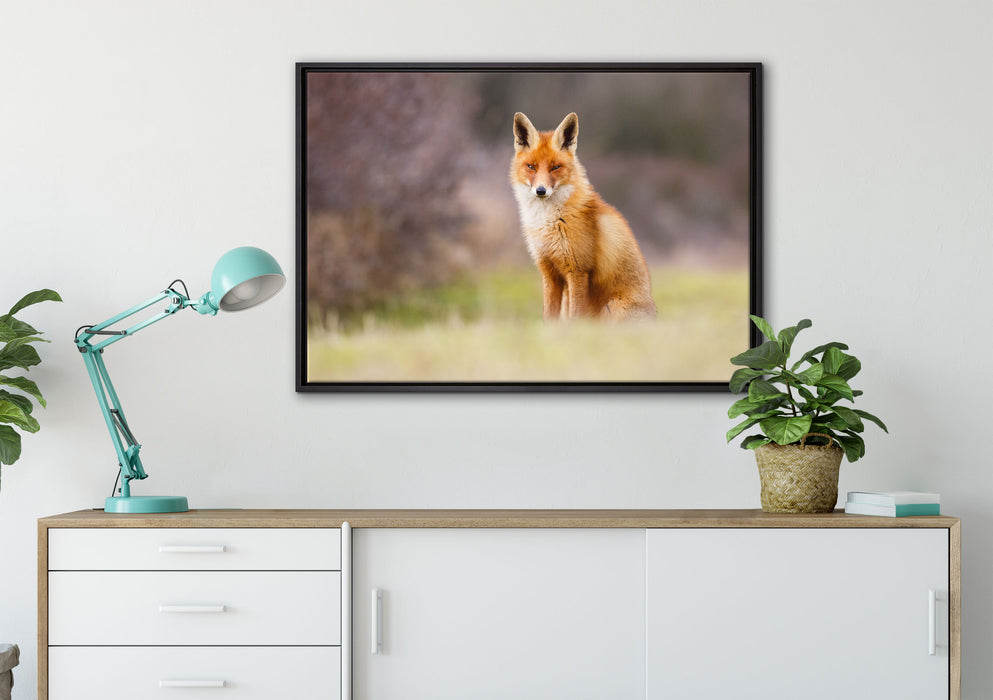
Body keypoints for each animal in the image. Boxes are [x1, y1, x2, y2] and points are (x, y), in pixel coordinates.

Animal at [510, 111, 656, 321]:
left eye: (555, 167)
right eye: (531, 166)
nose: (541, 191)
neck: (549, 222)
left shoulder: (577, 270)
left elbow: (575, 316)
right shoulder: (549, 271)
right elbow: (549, 316)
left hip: (612, 307)